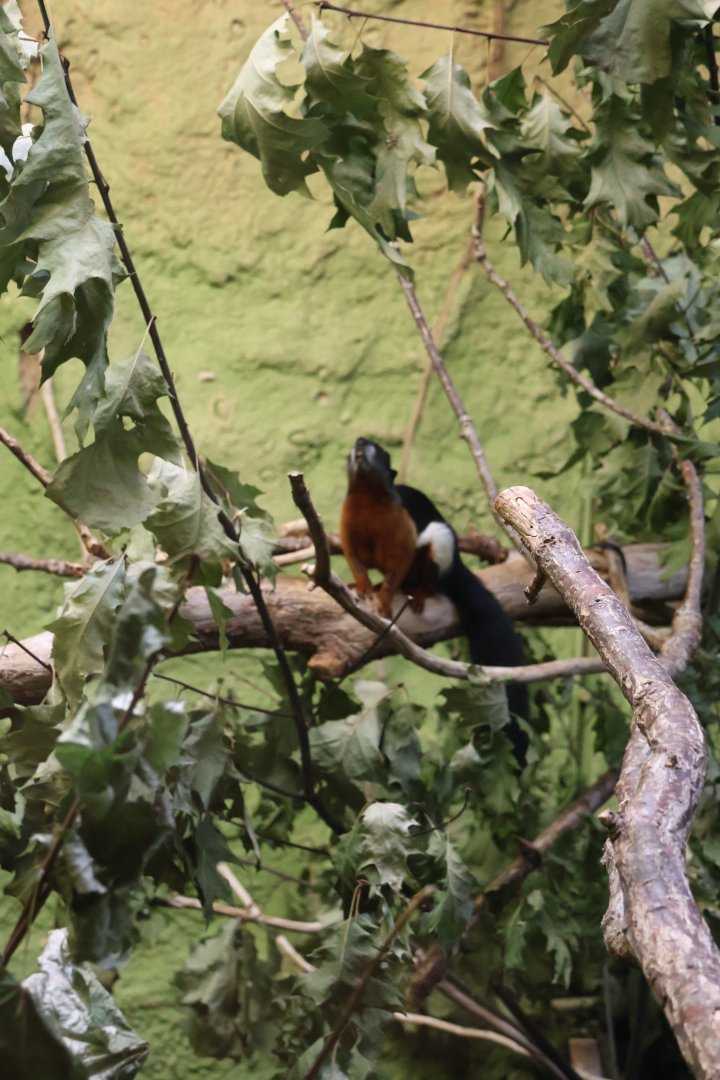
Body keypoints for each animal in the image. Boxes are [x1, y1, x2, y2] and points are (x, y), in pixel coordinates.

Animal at [340, 436, 529, 761]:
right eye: (357, 448)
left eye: (379, 449)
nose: (361, 441)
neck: (367, 501)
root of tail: (459, 568)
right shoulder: (348, 533)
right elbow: (357, 563)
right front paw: (363, 586)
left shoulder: (402, 537)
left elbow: (396, 570)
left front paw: (385, 599)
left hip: (439, 545)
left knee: (430, 572)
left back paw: (419, 592)